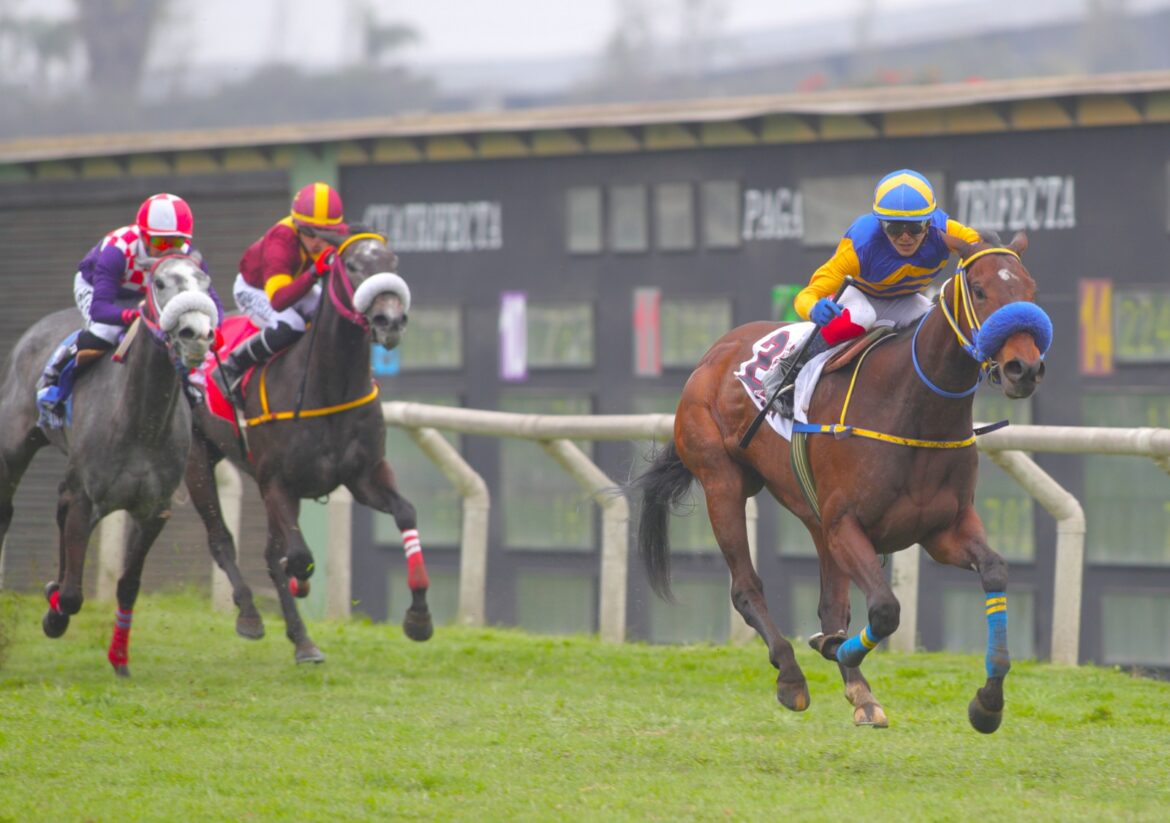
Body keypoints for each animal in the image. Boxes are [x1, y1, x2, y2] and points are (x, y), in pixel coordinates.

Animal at [0, 256, 218, 674]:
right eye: (160, 282)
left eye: (204, 282)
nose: (196, 334)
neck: (140, 421)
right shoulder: (86, 498)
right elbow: (72, 595)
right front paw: (54, 616)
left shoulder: (153, 510)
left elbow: (128, 585)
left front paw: (119, 658)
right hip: (14, 446)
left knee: (59, 508)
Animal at [184, 230, 432, 664]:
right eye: (352, 265)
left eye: (393, 262)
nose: (390, 320)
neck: (329, 383)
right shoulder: (276, 482)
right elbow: (298, 557)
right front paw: (299, 582)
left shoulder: (365, 476)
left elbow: (405, 513)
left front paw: (419, 616)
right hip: (198, 458)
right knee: (222, 540)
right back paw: (253, 616)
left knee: (268, 554)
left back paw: (301, 640)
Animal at [631, 231, 1053, 735]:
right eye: (981, 290)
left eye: (1030, 290)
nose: (1023, 369)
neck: (913, 408)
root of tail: (715, 354)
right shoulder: (848, 525)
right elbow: (886, 609)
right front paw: (833, 647)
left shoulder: (942, 530)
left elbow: (994, 571)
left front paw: (988, 702)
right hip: (723, 483)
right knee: (745, 587)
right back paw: (791, 674)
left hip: (813, 515)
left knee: (832, 604)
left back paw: (860, 692)